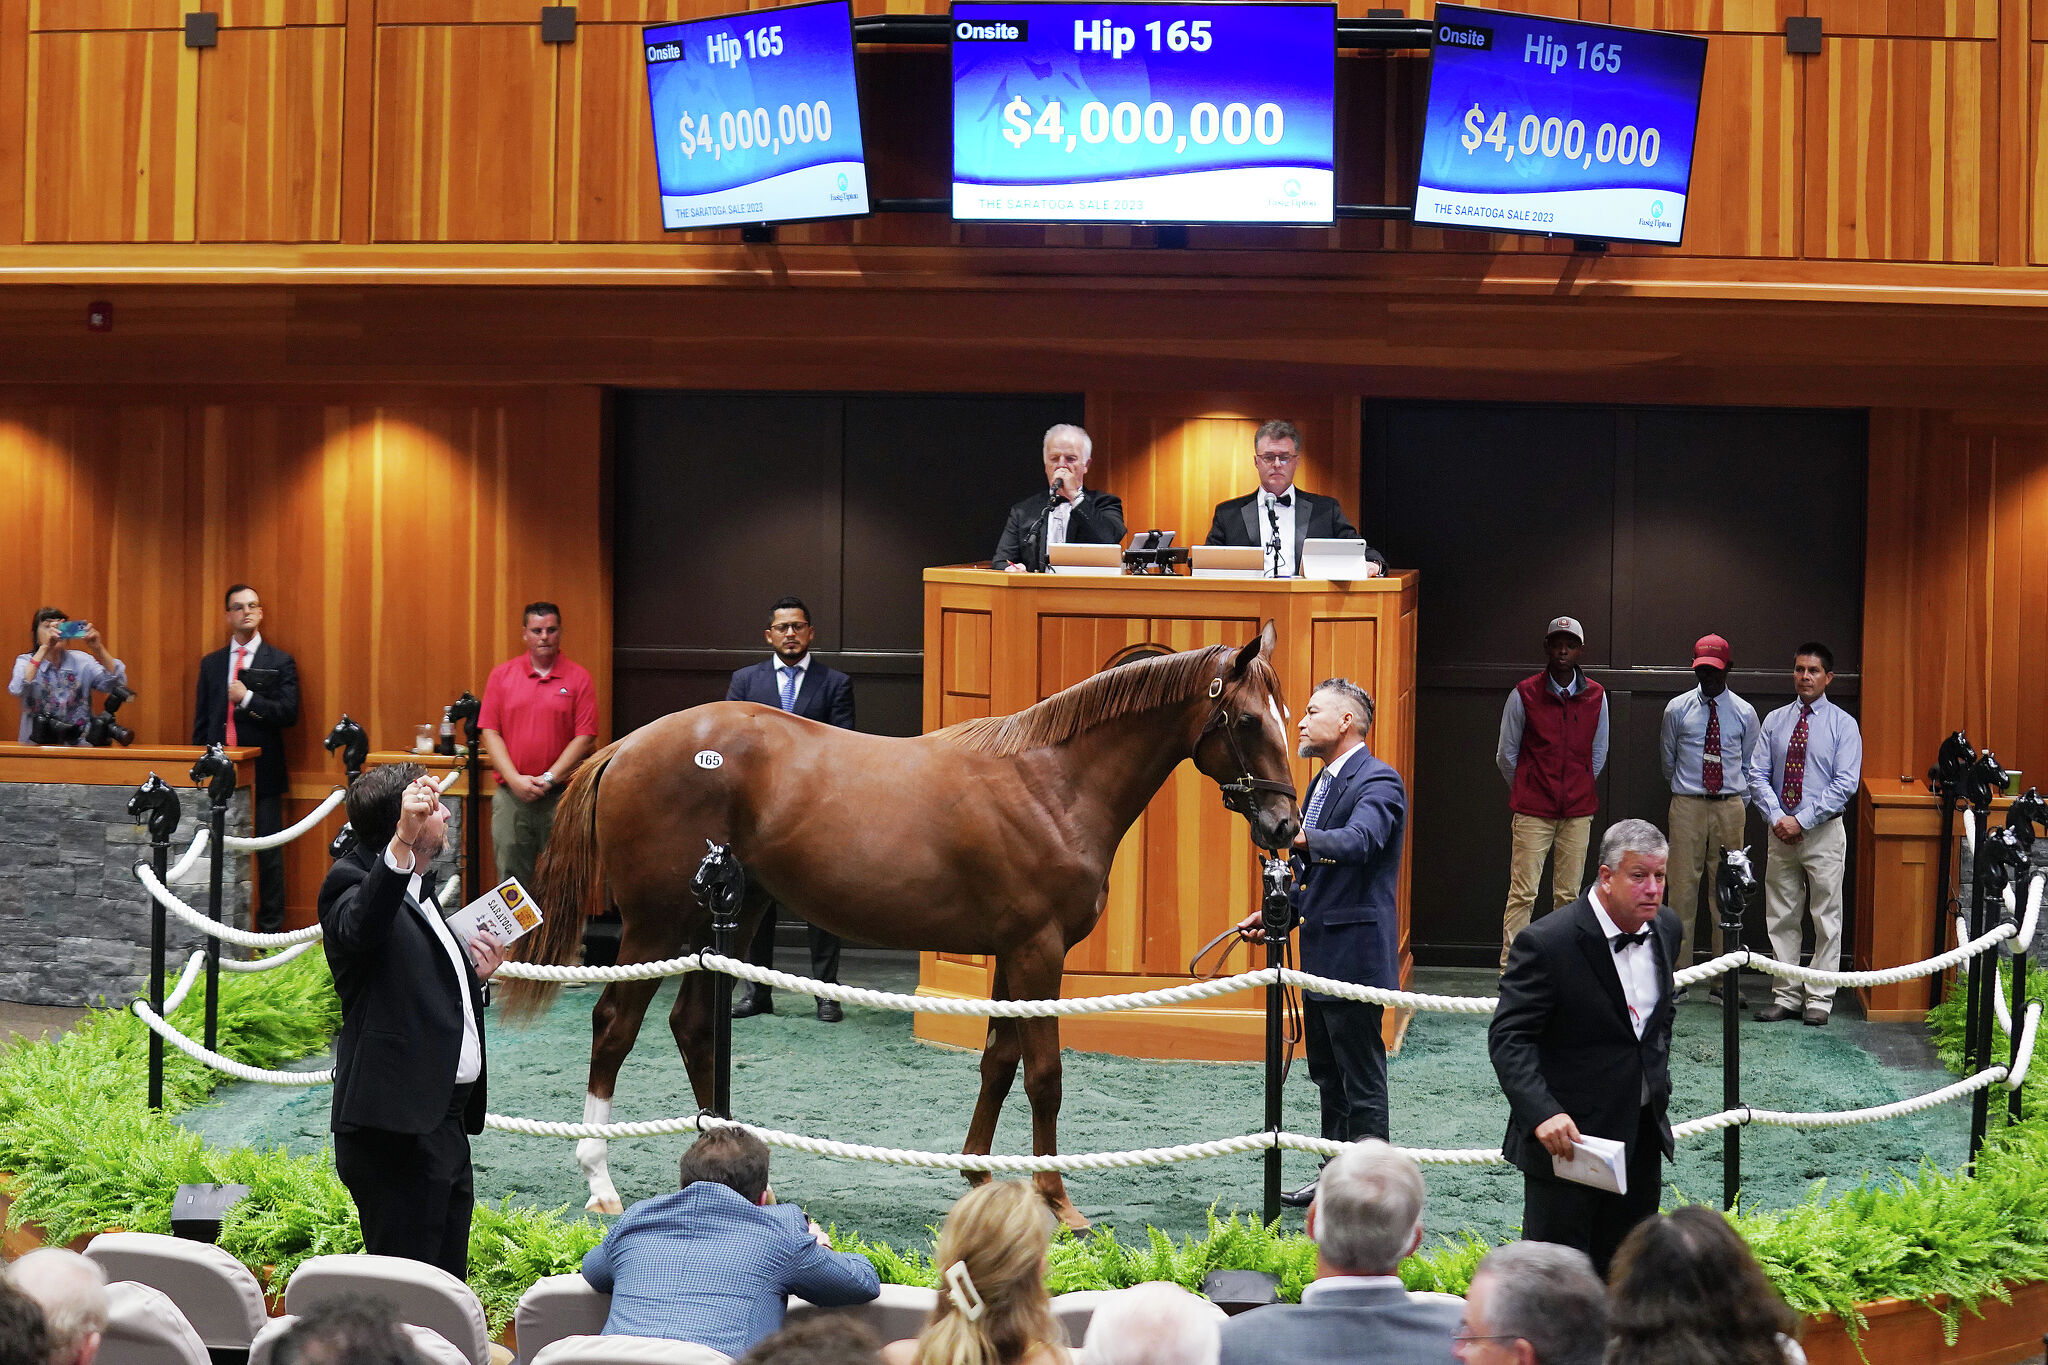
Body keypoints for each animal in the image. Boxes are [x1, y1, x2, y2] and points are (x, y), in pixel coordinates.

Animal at [512, 618, 1302, 1227]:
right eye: (1249, 720)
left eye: (1288, 719)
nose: (1285, 825)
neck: (1053, 785)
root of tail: (629, 744)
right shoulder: (1039, 953)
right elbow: (1044, 1073)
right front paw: (1057, 1198)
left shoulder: (1011, 954)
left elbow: (998, 1061)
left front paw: (977, 1171)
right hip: (654, 924)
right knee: (614, 1025)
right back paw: (601, 1182)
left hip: (730, 920)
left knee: (692, 1026)